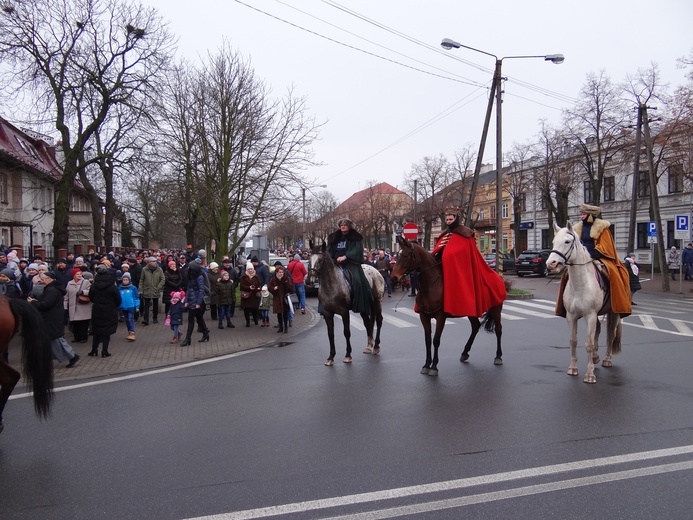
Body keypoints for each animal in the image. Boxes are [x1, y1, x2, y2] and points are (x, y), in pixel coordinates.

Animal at [390, 238, 502, 376]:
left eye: (405, 256)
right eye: (397, 255)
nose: (393, 278)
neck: (431, 285)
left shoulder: (441, 317)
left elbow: (436, 340)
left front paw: (434, 367)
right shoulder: (424, 316)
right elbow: (427, 340)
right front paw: (426, 364)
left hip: (496, 309)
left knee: (498, 330)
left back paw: (498, 357)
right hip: (472, 312)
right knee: (475, 327)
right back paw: (465, 353)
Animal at [548, 221, 620, 384]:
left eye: (567, 241)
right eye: (553, 242)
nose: (551, 264)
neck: (580, 285)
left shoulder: (590, 315)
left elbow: (589, 343)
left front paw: (590, 374)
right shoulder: (571, 316)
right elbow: (573, 341)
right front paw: (573, 368)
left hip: (614, 312)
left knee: (611, 334)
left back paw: (607, 359)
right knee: (598, 330)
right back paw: (596, 357)